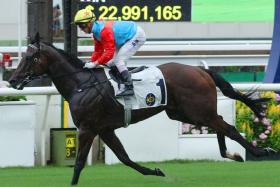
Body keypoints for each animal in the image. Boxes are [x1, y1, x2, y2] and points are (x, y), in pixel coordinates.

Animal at [9, 33, 276, 184]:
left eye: (30, 58)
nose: (12, 80)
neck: (81, 84)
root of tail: (200, 70)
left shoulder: (87, 128)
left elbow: (78, 163)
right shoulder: (105, 129)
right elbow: (125, 158)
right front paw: (156, 171)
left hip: (197, 110)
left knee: (228, 127)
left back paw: (260, 151)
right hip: (185, 112)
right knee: (221, 124)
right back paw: (232, 154)